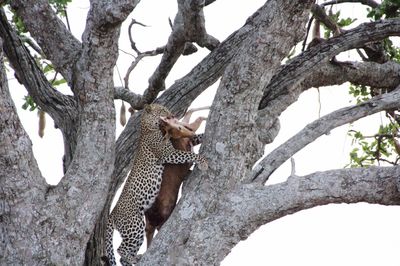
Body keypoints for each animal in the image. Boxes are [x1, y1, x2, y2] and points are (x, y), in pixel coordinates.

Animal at [103, 104, 208, 266]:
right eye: (163, 111)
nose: (172, 115)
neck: (149, 128)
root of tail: (112, 214)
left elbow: (197, 137)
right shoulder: (169, 154)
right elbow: (190, 154)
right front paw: (203, 163)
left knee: (123, 255)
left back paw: (135, 259)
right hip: (135, 224)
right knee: (121, 250)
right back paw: (135, 257)